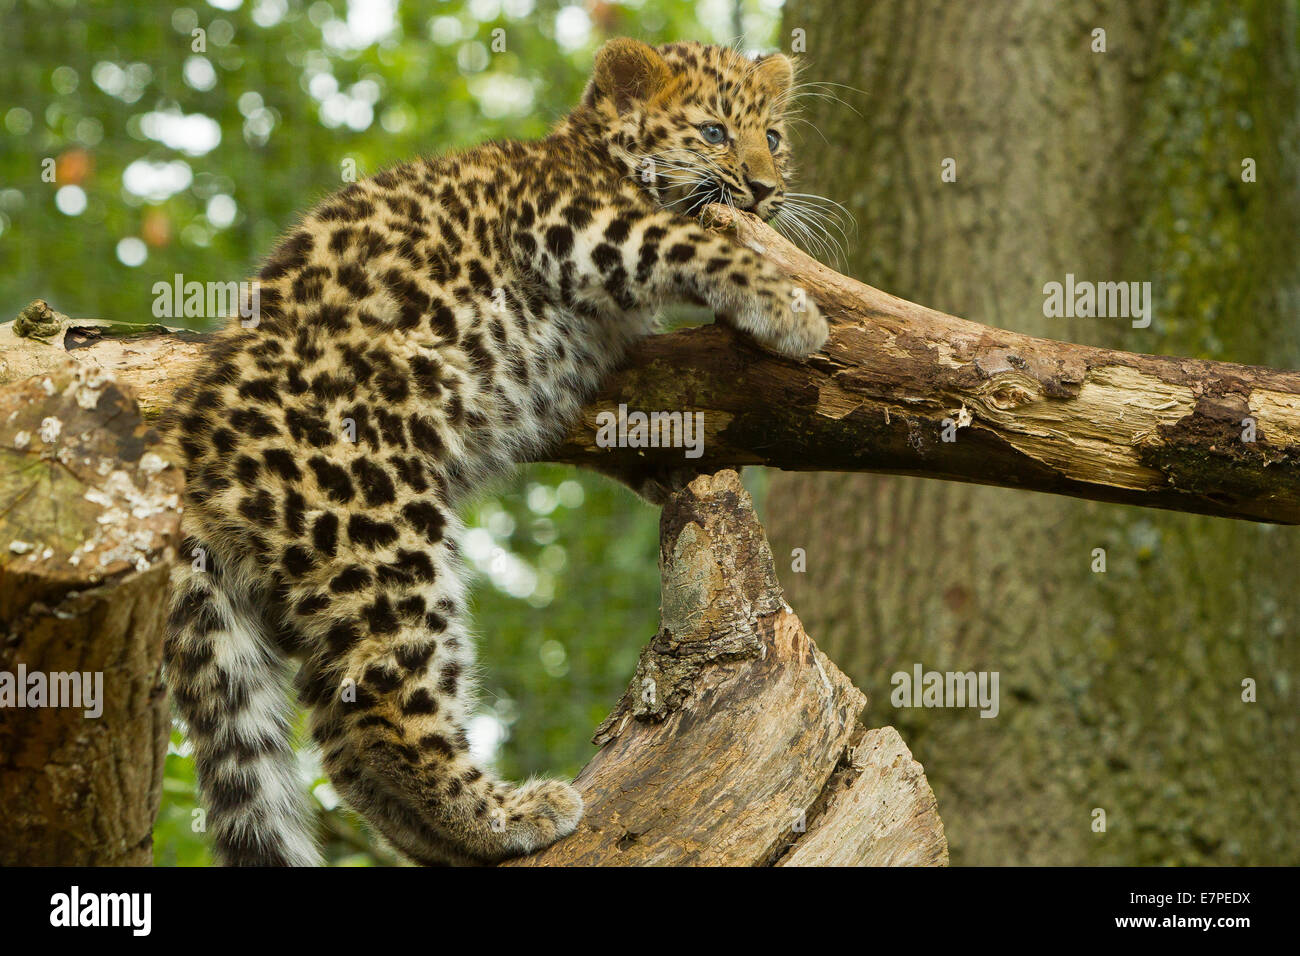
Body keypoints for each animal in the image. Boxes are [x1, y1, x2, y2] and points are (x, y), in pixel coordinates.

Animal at [163, 37, 829, 866]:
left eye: (772, 137)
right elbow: (688, 239)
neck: (585, 151)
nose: (767, 189)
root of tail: (194, 457)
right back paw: (504, 815)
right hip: (376, 532)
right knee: (384, 713)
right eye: (713, 132)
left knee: (343, 742)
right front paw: (790, 307)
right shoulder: (574, 222)